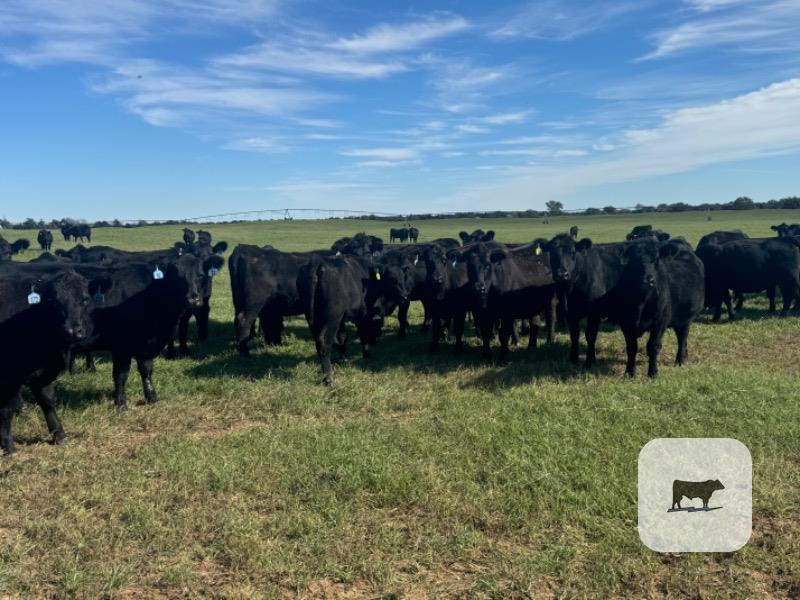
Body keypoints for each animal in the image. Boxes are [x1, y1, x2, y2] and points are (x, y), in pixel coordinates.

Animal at [0, 262, 109, 454]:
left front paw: (59, 434)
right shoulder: (10, 375)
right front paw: (8, 445)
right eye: (53, 301)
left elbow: (48, 401)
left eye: (85, 299)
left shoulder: (45, 371)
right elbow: (7, 408)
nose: (72, 331)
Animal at [607, 238, 704, 377]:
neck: (641, 302)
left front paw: (653, 372)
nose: (647, 280)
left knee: (682, 338)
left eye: (656, 259)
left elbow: (653, 346)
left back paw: (680, 360)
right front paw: (630, 372)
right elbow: (631, 348)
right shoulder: (626, 323)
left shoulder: (660, 322)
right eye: (634, 259)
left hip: (685, 319)